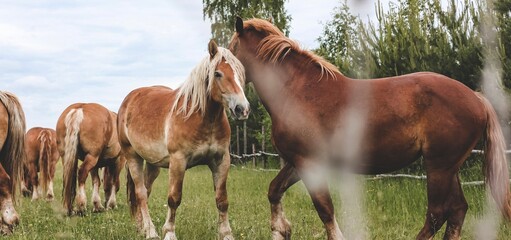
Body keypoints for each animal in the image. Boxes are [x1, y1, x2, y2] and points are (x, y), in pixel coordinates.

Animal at [118, 39, 250, 240]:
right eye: (218, 73)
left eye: (240, 73)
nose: (242, 109)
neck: (202, 118)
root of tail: (128, 100)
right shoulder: (178, 161)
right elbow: (174, 198)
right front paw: (169, 232)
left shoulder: (221, 160)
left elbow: (222, 200)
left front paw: (227, 234)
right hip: (133, 156)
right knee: (141, 193)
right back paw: (151, 231)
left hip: (153, 164)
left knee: (146, 191)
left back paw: (142, 228)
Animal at [230, 16, 510, 240]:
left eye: (231, 50)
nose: (237, 108)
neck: (298, 91)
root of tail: (477, 98)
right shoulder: (299, 162)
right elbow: (274, 190)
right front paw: (281, 229)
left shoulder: (308, 162)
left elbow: (325, 209)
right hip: (449, 168)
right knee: (458, 210)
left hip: (439, 166)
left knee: (438, 213)